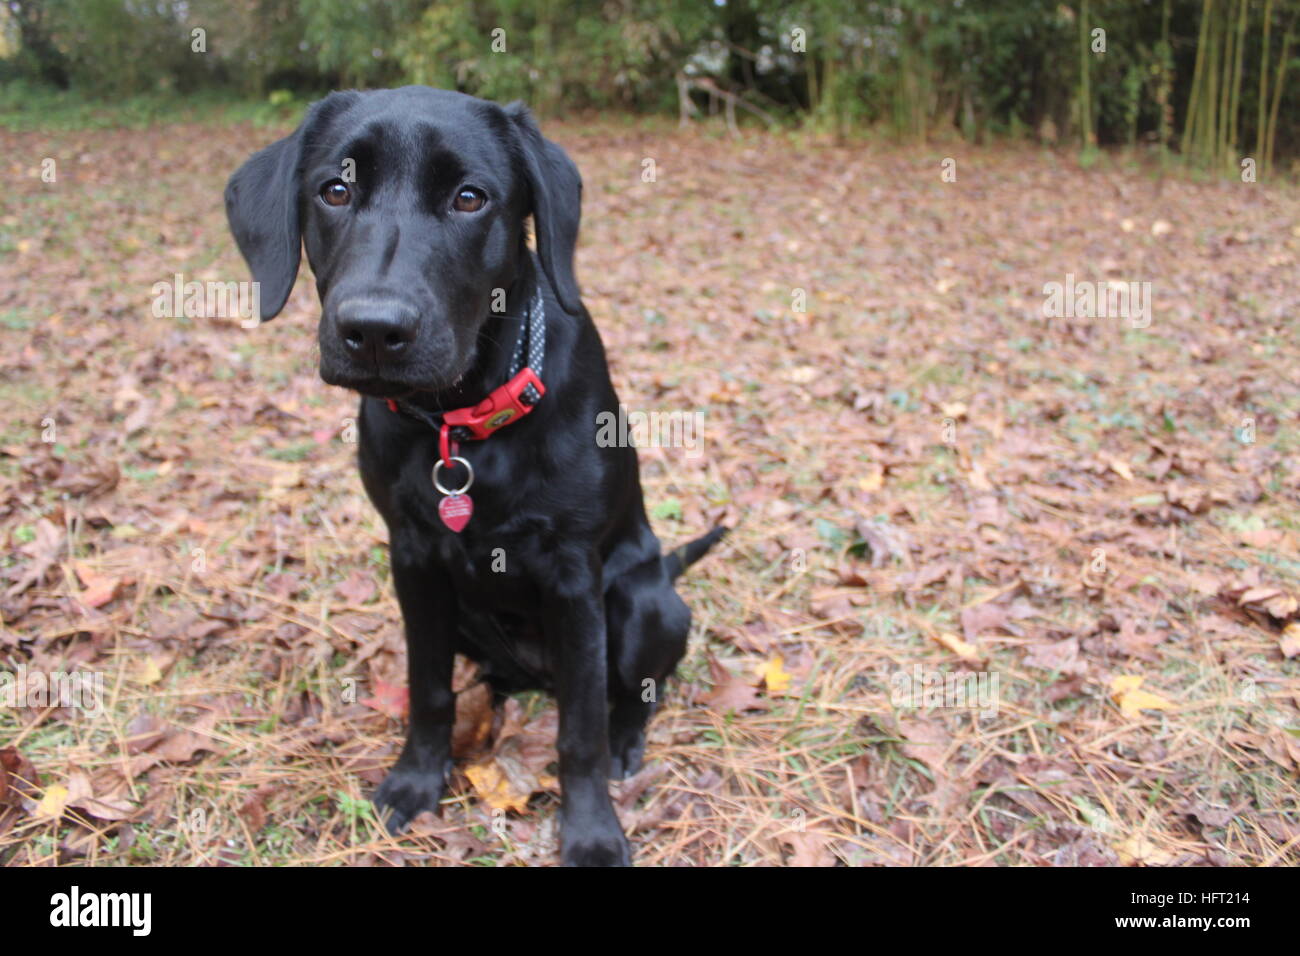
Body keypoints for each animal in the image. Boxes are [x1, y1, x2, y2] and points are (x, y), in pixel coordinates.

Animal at [227, 87, 728, 868]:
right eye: (335, 190)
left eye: (470, 198)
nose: (375, 331)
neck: (458, 423)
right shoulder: (413, 559)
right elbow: (429, 690)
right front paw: (414, 782)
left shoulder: (573, 578)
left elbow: (580, 729)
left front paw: (591, 832)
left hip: (646, 605)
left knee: (637, 690)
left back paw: (626, 741)